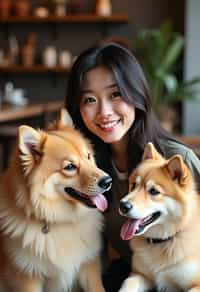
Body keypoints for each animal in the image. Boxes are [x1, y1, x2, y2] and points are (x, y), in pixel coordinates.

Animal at [0, 109, 111, 292]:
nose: (108, 181)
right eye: (70, 167)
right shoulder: (26, 278)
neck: (62, 221)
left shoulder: (89, 266)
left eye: (88, 156)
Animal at [119, 143, 200, 292]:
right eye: (133, 185)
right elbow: (127, 284)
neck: (164, 241)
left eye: (154, 191)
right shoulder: (140, 275)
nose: (123, 205)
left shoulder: (196, 284)